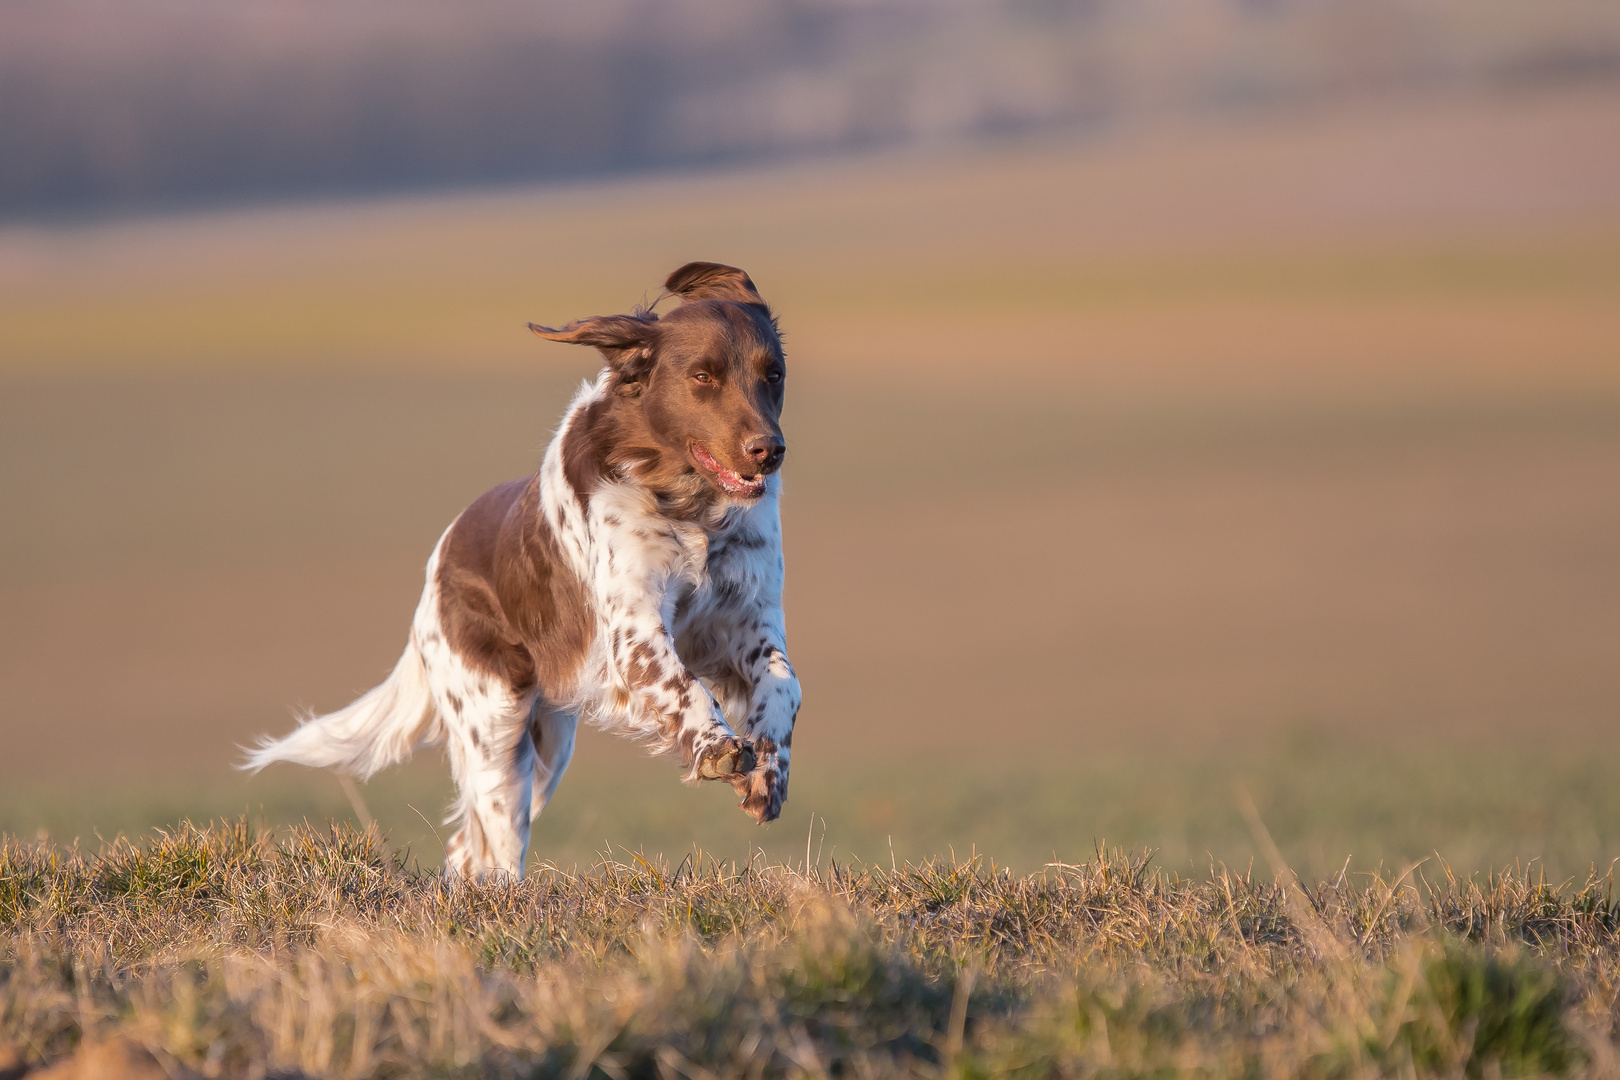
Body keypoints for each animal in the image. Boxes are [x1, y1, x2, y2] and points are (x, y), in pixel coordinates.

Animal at [246, 262, 797, 880]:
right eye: (703, 375)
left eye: (773, 374)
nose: (768, 449)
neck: (687, 503)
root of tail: (440, 559)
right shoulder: (634, 628)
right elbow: (683, 685)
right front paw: (717, 747)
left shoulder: (747, 618)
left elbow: (784, 685)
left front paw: (768, 776)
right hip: (497, 728)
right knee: (491, 838)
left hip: (548, 742)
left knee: (467, 846)